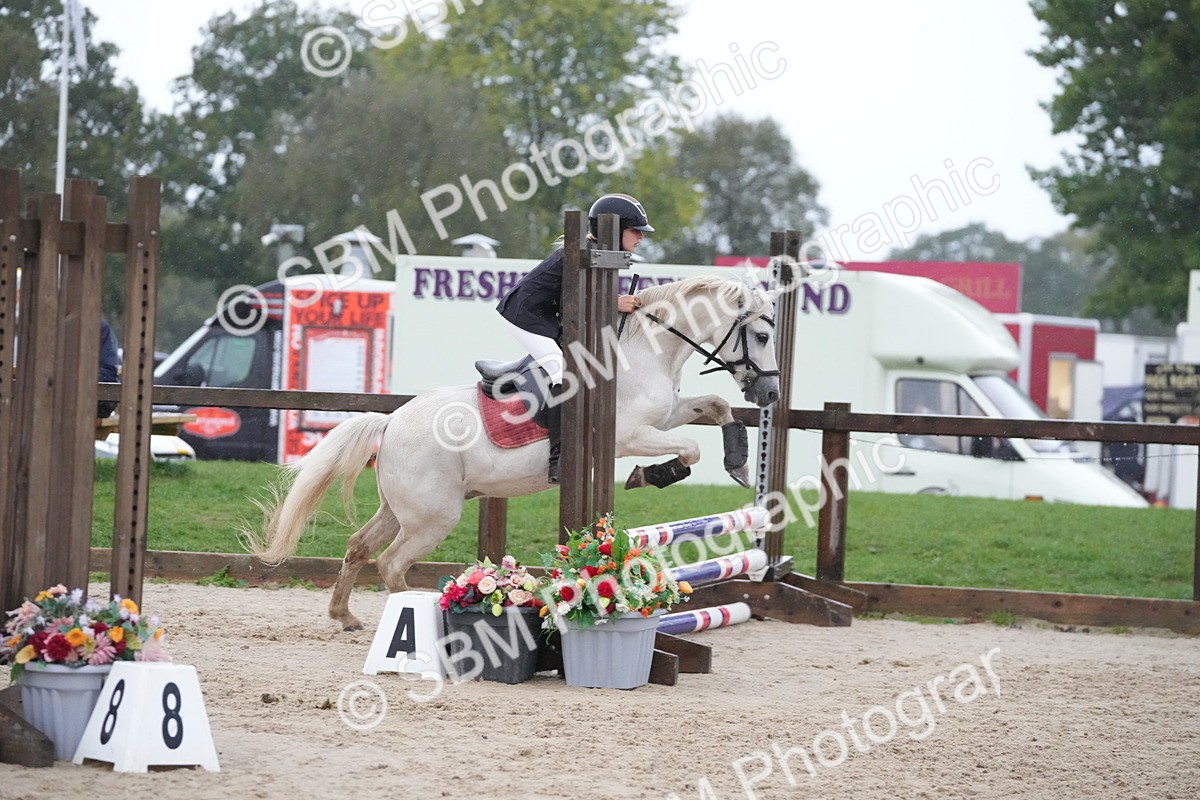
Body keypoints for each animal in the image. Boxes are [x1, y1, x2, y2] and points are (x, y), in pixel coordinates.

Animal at [247, 275, 783, 630]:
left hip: (402, 508)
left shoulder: (667, 415)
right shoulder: (631, 435)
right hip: (432, 517)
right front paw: (651, 475)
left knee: (360, 546)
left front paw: (739, 462)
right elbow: (689, 450)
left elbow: (716, 408)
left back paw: (344, 616)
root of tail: (393, 421)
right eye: (760, 335)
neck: (643, 352)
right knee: (391, 564)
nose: (771, 394)